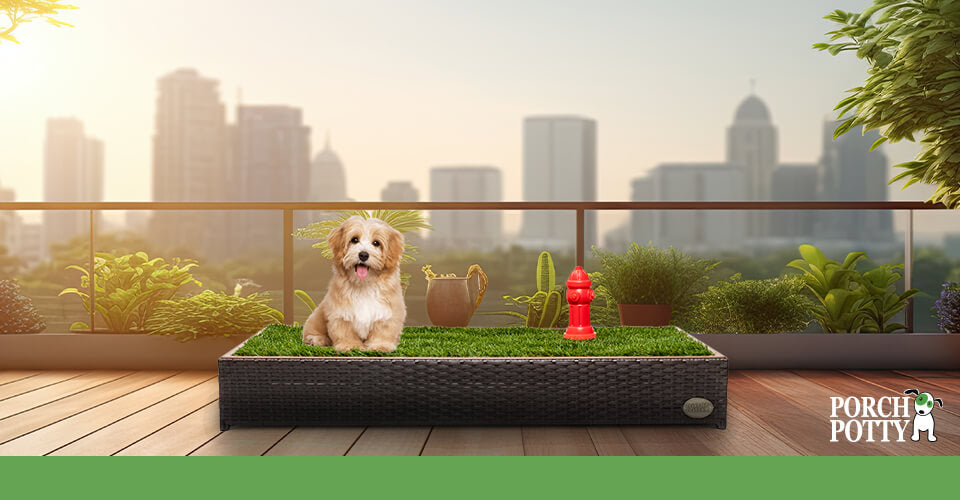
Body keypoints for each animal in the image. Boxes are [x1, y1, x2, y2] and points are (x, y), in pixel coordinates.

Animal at [302, 216, 404, 352]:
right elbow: (345, 331)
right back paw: (318, 340)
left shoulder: (387, 313)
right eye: (354, 240)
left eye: (376, 243)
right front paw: (350, 346)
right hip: (315, 319)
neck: (364, 284)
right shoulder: (340, 313)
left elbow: (383, 331)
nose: (363, 254)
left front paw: (380, 345)